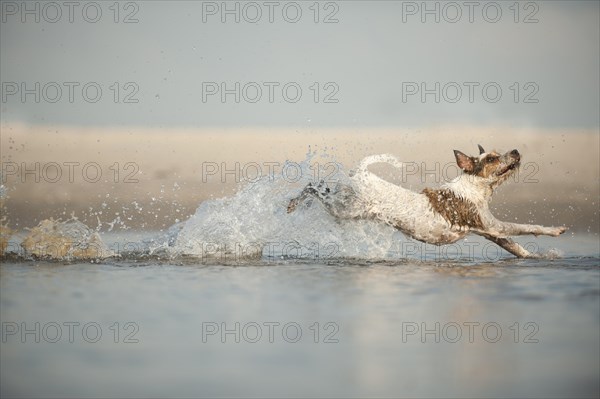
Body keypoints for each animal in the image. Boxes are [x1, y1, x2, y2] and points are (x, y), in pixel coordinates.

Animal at [286, 146, 568, 260]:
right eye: (490, 159)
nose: (516, 151)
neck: (474, 188)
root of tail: (361, 173)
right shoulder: (494, 225)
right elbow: (527, 227)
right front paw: (555, 230)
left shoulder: (492, 233)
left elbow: (518, 248)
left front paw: (538, 258)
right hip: (343, 208)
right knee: (313, 186)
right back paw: (293, 204)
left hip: (343, 204)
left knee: (320, 187)